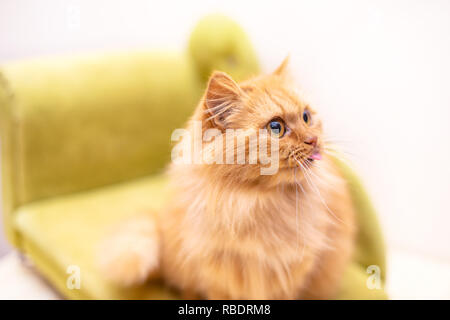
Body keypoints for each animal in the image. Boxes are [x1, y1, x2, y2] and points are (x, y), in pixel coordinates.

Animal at [98, 59, 356, 300]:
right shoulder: (217, 276)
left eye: (306, 117)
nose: (314, 140)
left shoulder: (294, 271)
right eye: (276, 127)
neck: (258, 202)